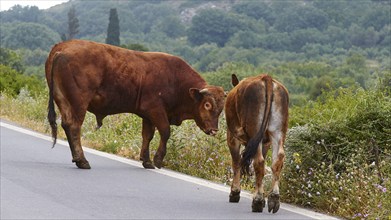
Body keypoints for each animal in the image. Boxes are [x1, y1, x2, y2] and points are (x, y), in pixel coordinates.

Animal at [46, 39, 225, 169]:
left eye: (221, 108)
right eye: (207, 104)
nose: (214, 130)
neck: (176, 80)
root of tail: (63, 47)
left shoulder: (148, 116)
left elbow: (147, 136)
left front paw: (146, 161)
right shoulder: (156, 110)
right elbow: (165, 132)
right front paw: (158, 160)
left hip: (63, 100)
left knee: (67, 125)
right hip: (79, 104)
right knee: (74, 126)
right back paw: (82, 161)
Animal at [225, 73, 290, 213]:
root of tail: (266, 78)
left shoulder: (232, 138)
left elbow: (236, 163)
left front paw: (234, 192)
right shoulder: (266, 143)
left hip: (254, 129)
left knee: (258, 162)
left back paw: (258, 201)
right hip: (278, 131)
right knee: (278, 160)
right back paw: (273, 199)